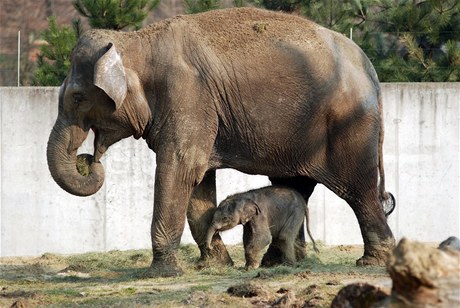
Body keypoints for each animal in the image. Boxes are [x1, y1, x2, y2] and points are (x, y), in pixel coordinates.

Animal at [46, 6, 396, 276]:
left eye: (77, 97)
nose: (89, 160)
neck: (137, 42)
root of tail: (371, 71)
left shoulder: (187, 95)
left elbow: (180, 168)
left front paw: (162, 272)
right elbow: (198, 181)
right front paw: (214, 265)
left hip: (349, 126)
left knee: (358, 189)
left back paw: (371, 261)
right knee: (295, 184)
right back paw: (278, 263)